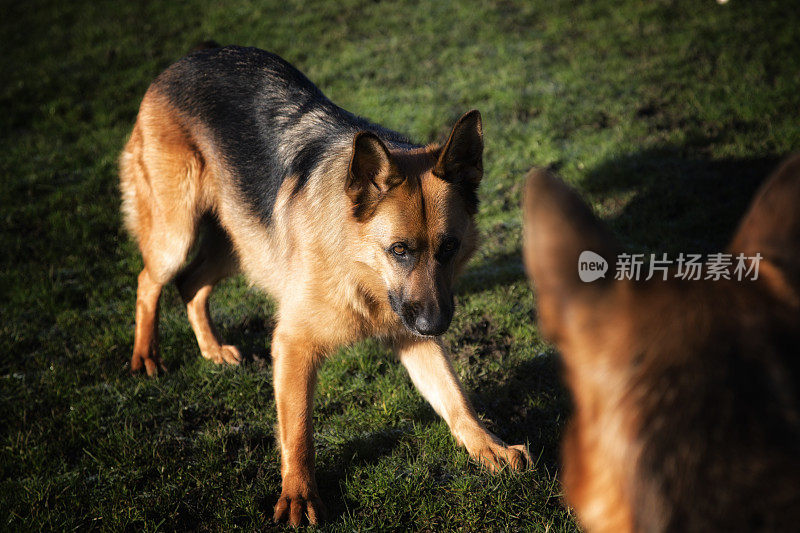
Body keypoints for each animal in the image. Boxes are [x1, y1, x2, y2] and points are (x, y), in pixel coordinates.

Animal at [119, 44, 532, 524]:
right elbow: (298, 429)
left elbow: (455, 397)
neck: (358, 266)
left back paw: (212, 349)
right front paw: (298, 495)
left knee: (190, 284)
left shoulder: (413, 337)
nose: (435, 325)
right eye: (399, 250)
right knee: (149, 281)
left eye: (449, 247)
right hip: (178, 234)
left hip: (237, 245)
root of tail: (189, 57)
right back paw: (146, 355)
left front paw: (489, 448)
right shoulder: (294, 344)